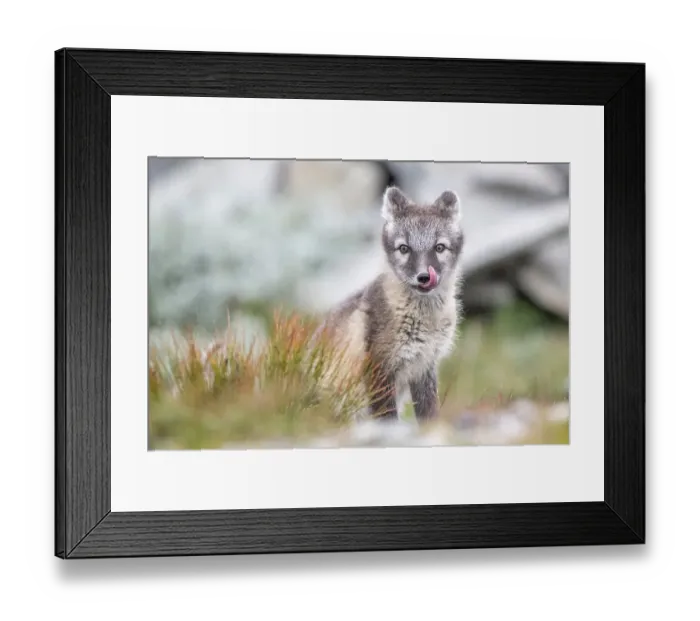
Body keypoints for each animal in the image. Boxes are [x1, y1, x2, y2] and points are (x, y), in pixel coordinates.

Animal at [315, 185, 465, 424]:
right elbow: (387, 417)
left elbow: (429, 413)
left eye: (439, 247)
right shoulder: (379, 367)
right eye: (404, 248)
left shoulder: (424, 366)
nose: (424, 277)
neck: (426, 320)